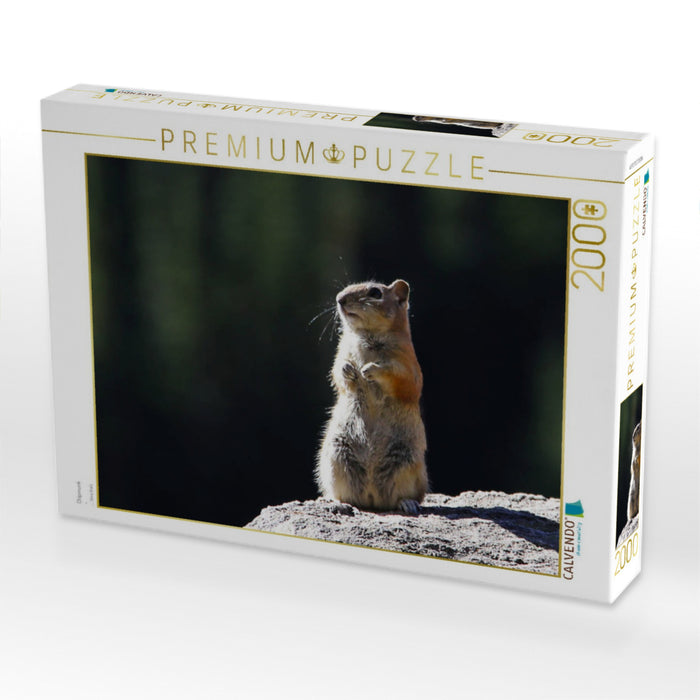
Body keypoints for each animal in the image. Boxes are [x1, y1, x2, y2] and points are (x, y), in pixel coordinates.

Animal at [315, 279, 428, 514]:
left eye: (375, 293)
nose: (339, 299)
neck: (365, 336)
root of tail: (372, 498)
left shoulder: (408, 366)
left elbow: (398, 378)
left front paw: (370, 369)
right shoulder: (340, 352)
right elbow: (337, 371)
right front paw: (348, 369)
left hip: (406, 463)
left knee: (404, 496)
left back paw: (407, 503)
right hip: (337, 458)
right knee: (348, 496)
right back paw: (338, 502)